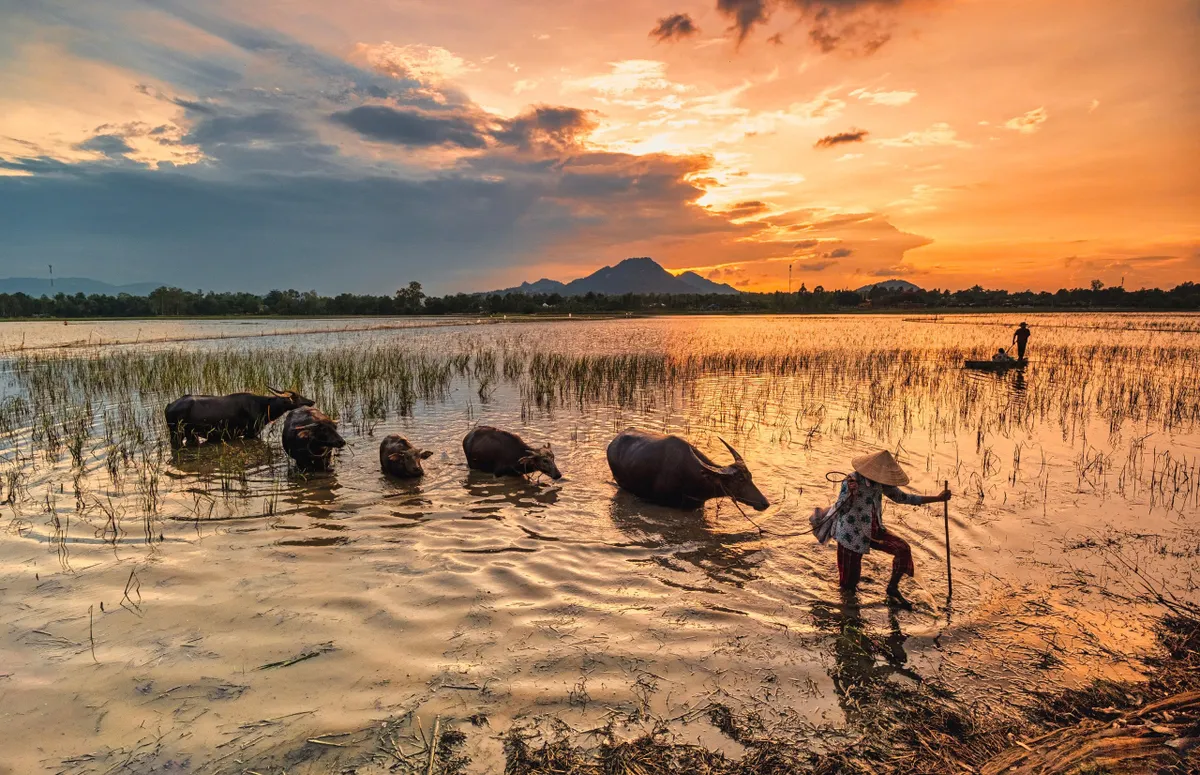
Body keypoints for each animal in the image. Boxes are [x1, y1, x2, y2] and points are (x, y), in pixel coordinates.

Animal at [165, 388, 314, 448]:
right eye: (296, 397)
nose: (311, 401)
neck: (262, 406)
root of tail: (169, 405)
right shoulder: (251, 433)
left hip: (190, 435)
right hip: (176, 433)